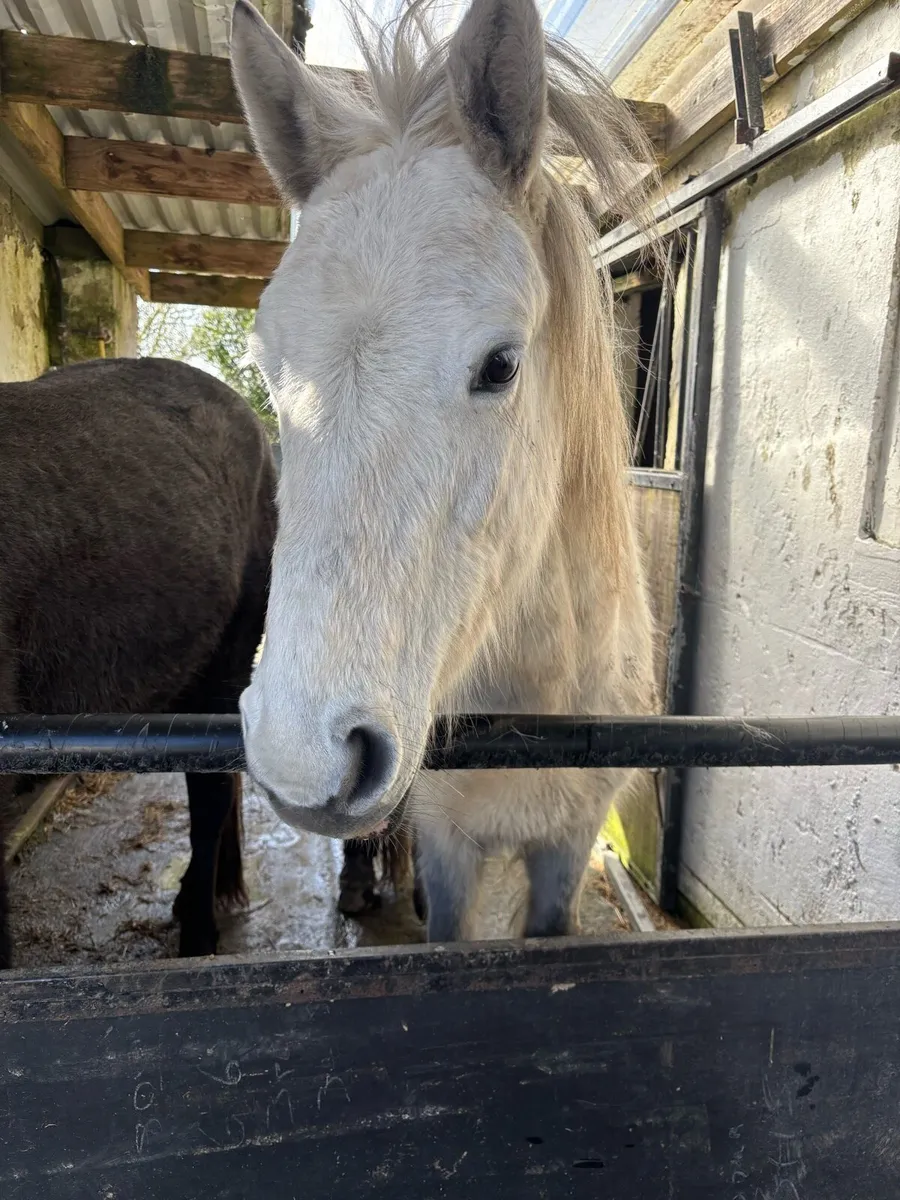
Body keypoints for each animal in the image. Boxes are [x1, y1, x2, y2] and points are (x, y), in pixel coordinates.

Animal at [231, 0, 658, 942]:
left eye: (500, 366)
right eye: (270, 368)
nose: (301, 757)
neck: (542, 700)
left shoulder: (569, 845)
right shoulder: (452, 846)